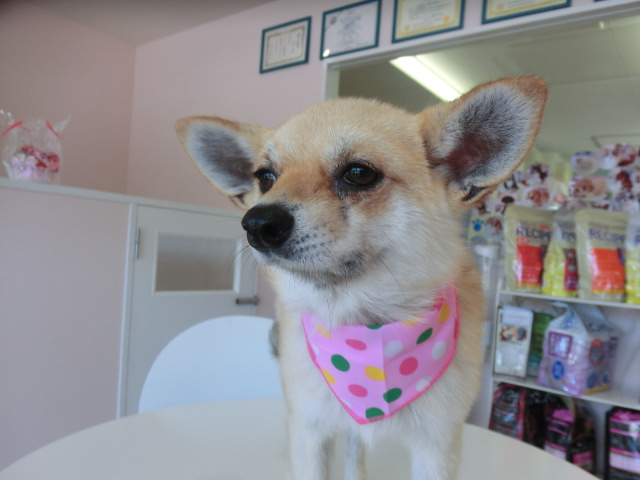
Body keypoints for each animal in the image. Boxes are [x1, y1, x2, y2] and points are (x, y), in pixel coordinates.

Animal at [176, 76, 547, 480]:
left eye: (359, 173)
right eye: (265, 178)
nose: (257, 223)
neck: (366, 328)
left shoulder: (437, 446)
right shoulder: (310, 431)